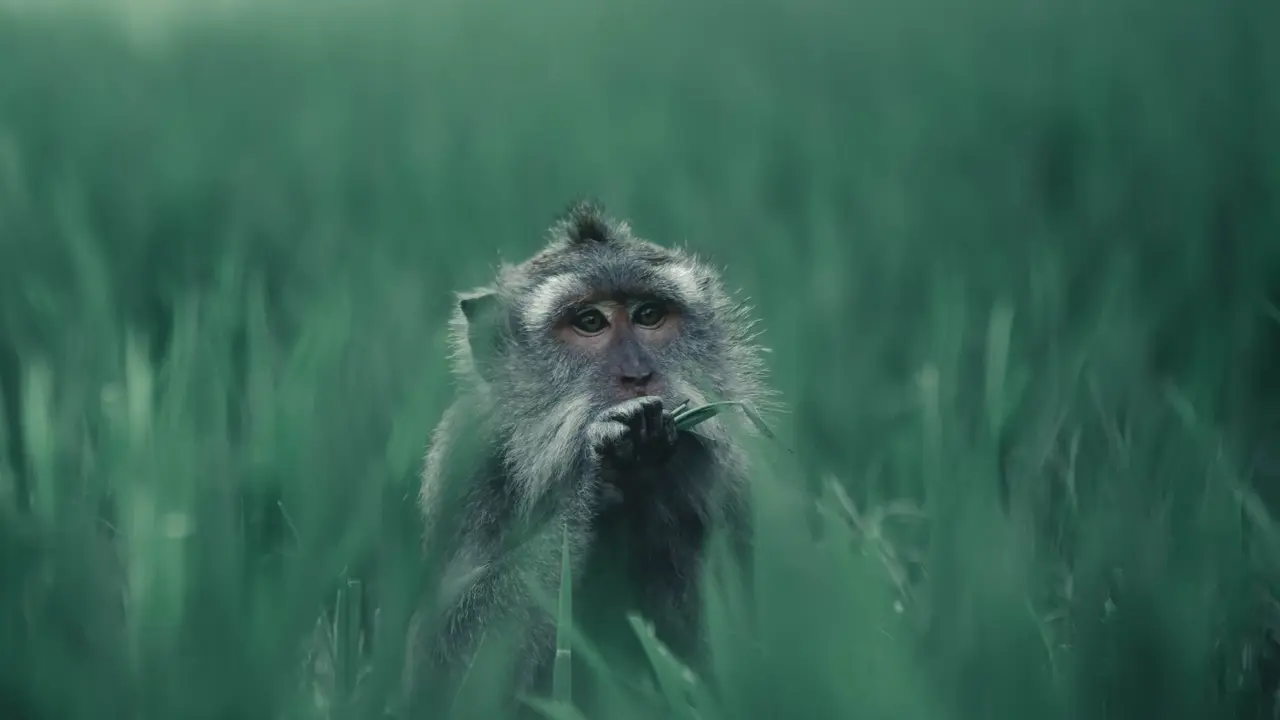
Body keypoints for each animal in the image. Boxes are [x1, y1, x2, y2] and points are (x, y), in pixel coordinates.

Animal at [402, 200, 773, 717]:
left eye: (649, 315)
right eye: (590, 322)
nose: (638, 373)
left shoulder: (736, 480)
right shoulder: (465, 464)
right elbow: (443, 667)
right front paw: (595, 479)